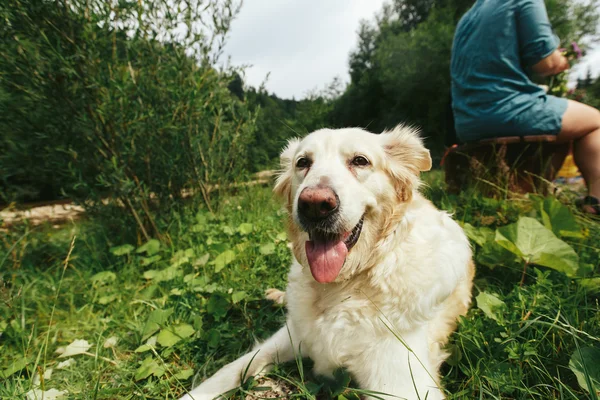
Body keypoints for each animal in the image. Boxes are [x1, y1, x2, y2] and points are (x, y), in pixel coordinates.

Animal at [179, 126, 474, 400]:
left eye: (360, 161)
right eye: (302, 162)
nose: (314, 205)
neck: (344, 285)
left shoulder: (403, 383)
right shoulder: (291, 336)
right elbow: (227, 371)